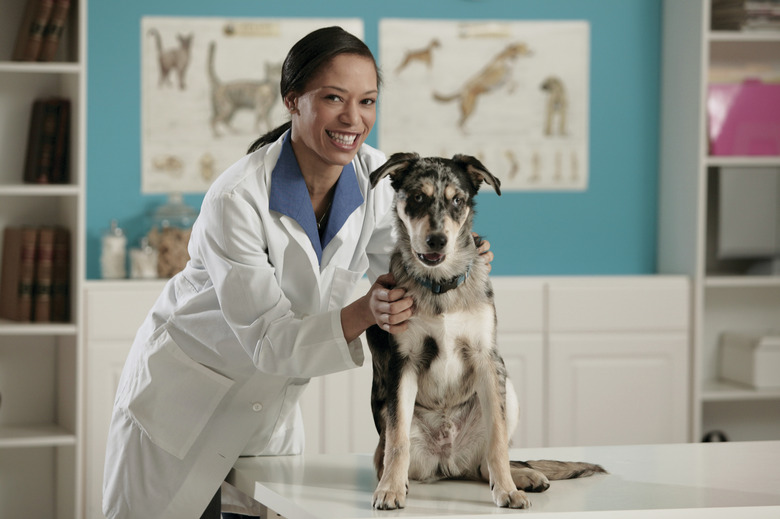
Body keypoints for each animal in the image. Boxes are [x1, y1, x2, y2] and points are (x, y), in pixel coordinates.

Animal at [366, 152, 604, 510]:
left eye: (457, 200)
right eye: (418, 197)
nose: (438, 241)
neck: (440, 286)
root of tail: (448, 461)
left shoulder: (487, 358)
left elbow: (498, 441)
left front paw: (507, 490)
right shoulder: (403, 362)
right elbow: (397, 440)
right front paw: (390, 490)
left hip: (509, 390)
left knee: (484, 463)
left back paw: (525, 476)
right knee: (393, 451)